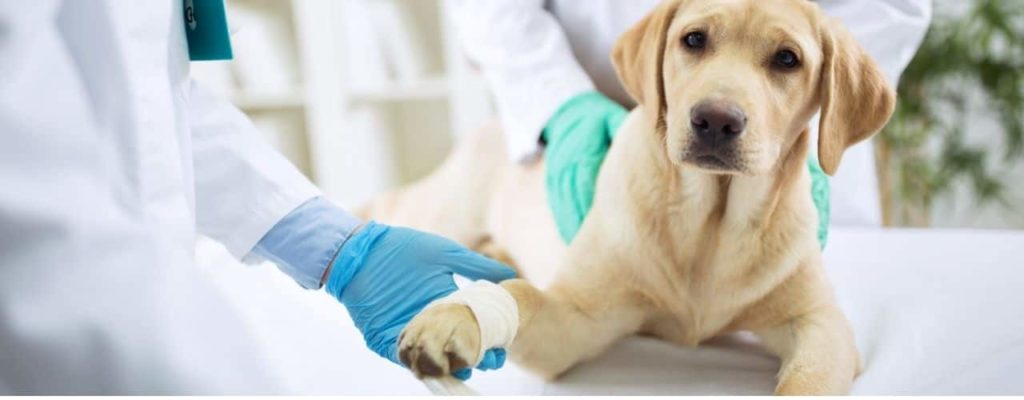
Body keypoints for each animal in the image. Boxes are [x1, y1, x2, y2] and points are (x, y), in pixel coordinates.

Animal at [364, 0, 892, 394]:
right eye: (694, 40)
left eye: (787, 58)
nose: (715, 120)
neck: (710, 224)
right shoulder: (576, 320)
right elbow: (521, 295)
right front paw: (455, 318)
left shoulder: (820, 324)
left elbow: (808, 379)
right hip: (440, 210)